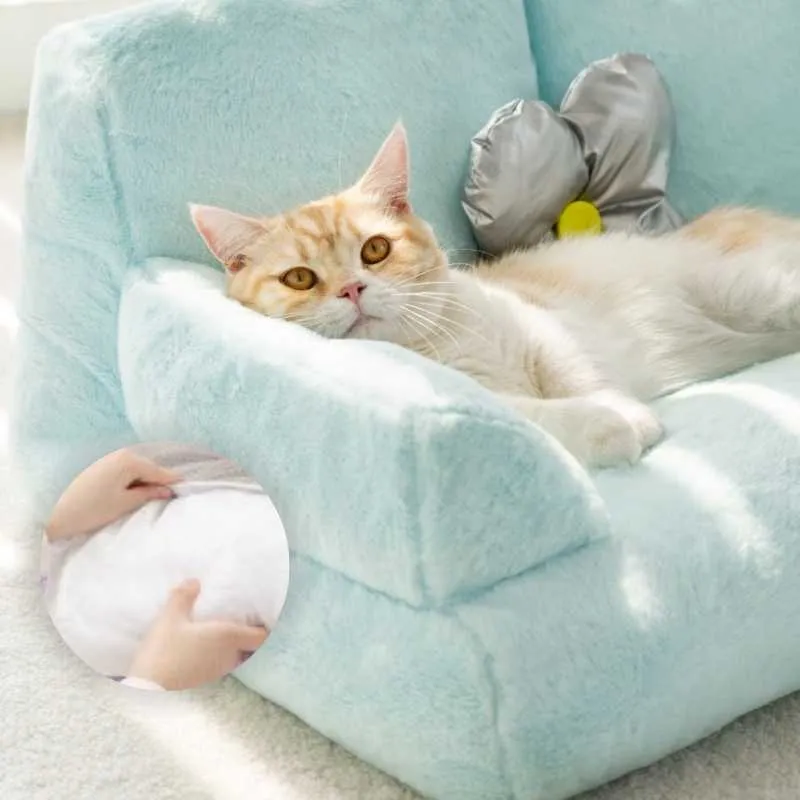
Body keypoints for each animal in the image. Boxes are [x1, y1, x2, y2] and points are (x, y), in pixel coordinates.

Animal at [189, 122, 800, 466]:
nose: (351, 289)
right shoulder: (490, 397)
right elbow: (533, 416)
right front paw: (608, 424)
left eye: (375, 250)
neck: (439, 343)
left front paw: (626, 410)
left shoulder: (540, 325)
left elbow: (572, 370)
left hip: (742, 287)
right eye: (299, 279)